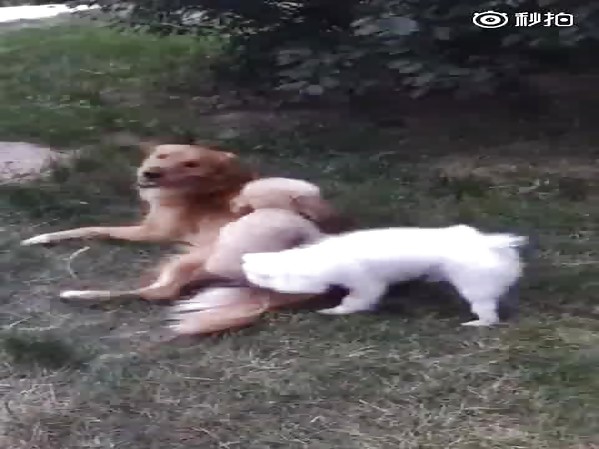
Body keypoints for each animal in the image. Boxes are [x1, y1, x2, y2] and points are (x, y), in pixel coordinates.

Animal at [21, 142, 257, 301]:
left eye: (191, 164)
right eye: (162, 155)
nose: (150, 173)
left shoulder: (151, 231)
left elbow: (93, 228)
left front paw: (41, 237)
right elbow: (91, 229)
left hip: (189, 260)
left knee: (161, 292)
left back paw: (78, 294)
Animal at [241, 225, 527, 326]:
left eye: (264, 276)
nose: (244, 268)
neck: (322, 257)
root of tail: (491, 244)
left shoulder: (365, 284)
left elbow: (356, 301)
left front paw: (334, 311)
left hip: (474, 288)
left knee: (489, 315)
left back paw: (476, 324)